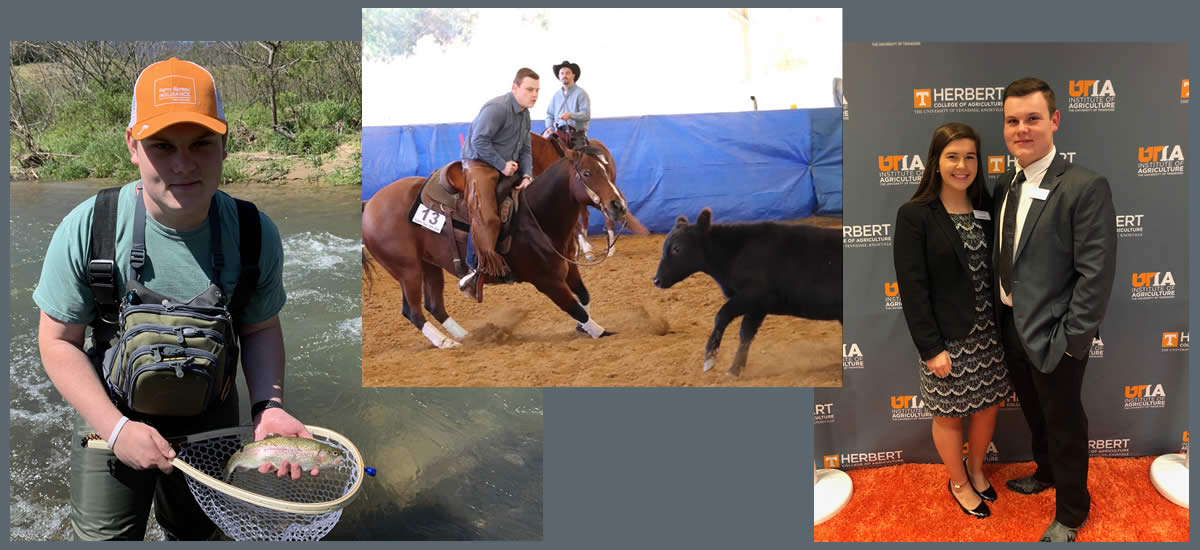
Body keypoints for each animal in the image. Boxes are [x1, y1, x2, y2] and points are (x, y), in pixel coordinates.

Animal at [362, 145, 643, 348]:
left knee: (434, 305)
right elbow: (574, 308)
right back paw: (445, 342)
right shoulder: (547, 281)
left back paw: (465, 337)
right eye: (586, 173)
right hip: (407, 269)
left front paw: (582, 327)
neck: (536, 216)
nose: (618, 206)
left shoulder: (568, 267)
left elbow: (584, 297)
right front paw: (599, 331)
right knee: (412, 311)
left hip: (429, 265)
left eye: (607, 170)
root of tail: (371, 204)